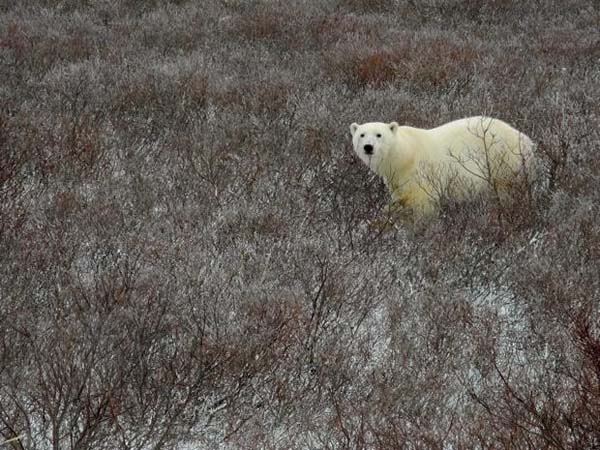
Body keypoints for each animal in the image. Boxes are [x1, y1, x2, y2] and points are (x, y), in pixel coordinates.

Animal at [350, 117, 536, 221]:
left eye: (379, 135)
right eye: (362, 134)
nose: (368, 147)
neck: (404, 156)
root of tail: (525, 139)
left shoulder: (419, 173)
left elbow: (422, 203)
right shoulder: (395, 179)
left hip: (503, 160)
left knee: (506, 190)